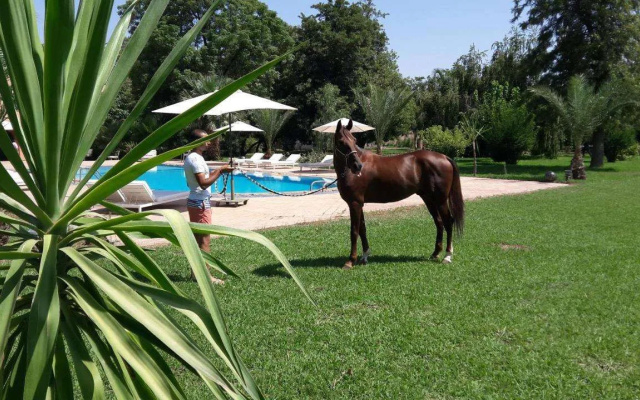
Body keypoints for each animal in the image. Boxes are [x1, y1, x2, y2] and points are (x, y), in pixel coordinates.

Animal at [333, 119, 465, 269]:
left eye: (354, 140)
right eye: (341, 142)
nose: (357, 166)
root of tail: (444, 157)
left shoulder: (354, 203)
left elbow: (354, 231)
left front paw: (350, 261)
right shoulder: (359, 204)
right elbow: (362, 229)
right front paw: (364, 256)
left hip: (441, 200)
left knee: (448, 222)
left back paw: (447, 256)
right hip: (429, 199)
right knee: (439, 223)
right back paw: (435, 253)